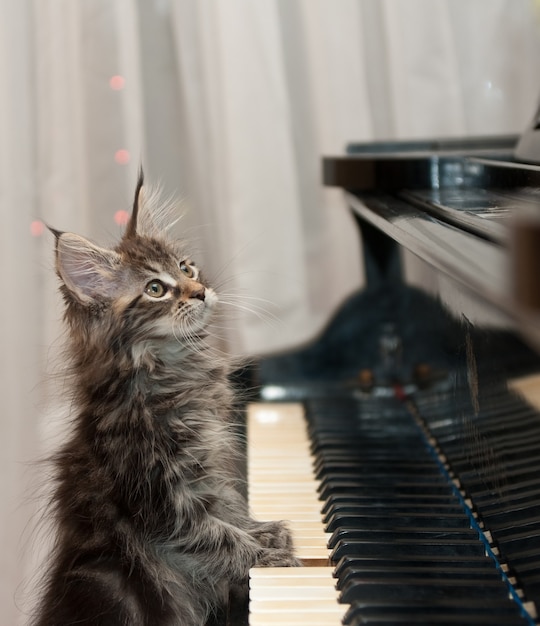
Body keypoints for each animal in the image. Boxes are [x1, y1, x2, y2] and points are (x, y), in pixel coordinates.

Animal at [33, 173, 300, 624]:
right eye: (156, 289)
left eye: (186, 267)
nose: (201, 291)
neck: (172, 368)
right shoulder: (163, 499)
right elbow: (216, 536)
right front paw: (263, 555)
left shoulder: (209, 470)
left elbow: (228, 509)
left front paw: (263, 531)